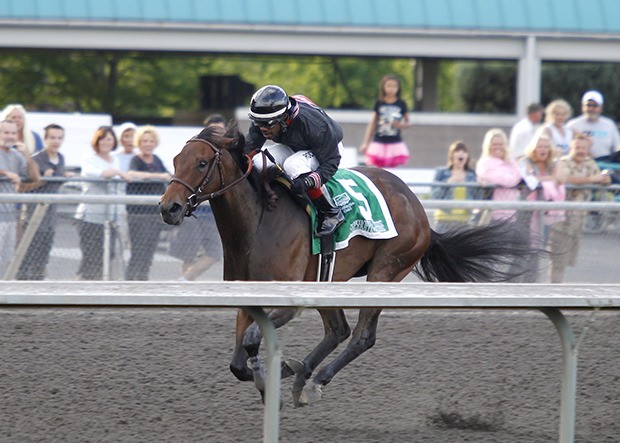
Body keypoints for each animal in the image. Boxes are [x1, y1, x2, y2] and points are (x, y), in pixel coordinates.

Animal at [159, 124, 528, 406]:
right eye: (176, 160)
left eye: (202, 163)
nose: (169, 208)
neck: (259, 221)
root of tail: (418, 208)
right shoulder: (248, 297)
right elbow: (238, 363)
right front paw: (271, 378)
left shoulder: (288, 301)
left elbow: (250, 342)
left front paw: (272, 384)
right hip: (329, 275)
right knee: (338, 329)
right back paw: (299, 373)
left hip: (386, 270)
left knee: (362, 336)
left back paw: (314, 380)